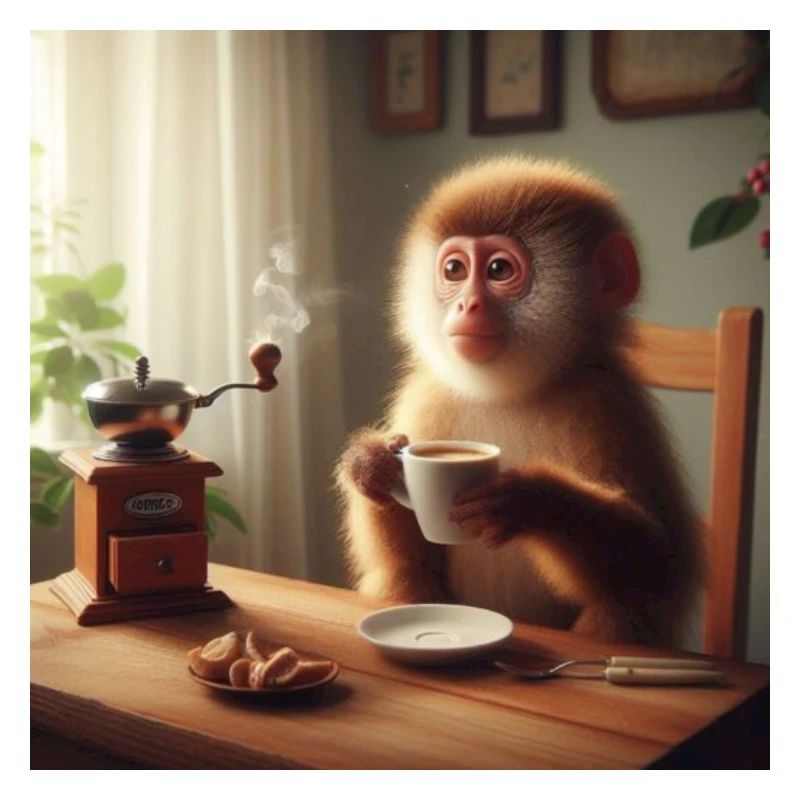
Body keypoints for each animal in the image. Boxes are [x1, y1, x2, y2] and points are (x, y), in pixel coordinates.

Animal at [336, 155, 704, 645]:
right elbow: (406, 560)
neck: (507, 394)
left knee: (619, 610)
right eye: (454, 271)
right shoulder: (427, 395)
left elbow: (661, 563)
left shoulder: (605, 402)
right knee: (403, 579)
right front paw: (372, 463)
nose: (467, 306)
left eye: (498, 270)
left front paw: (529, 500)